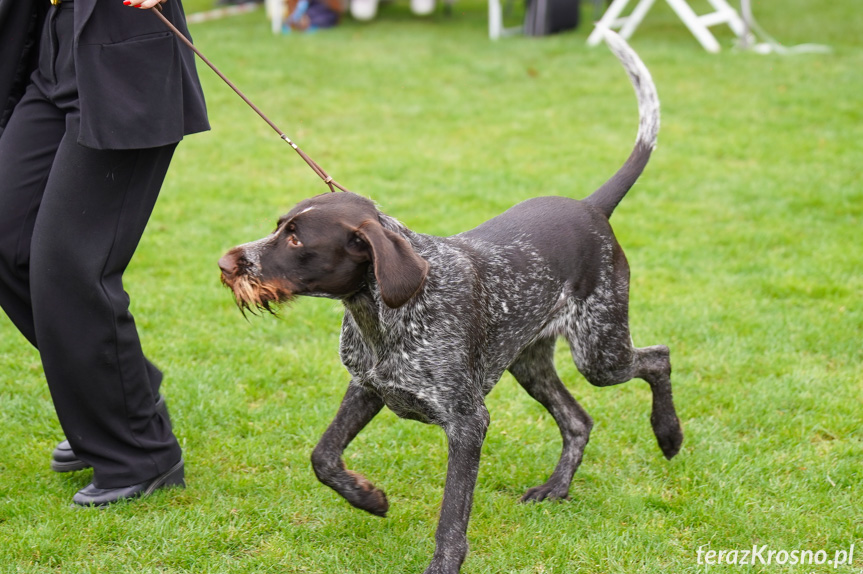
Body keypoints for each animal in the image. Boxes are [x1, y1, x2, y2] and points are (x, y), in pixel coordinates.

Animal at [221, 31, 680, 574]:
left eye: (295, 239)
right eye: (278, 227)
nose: (227, 263)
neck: (382, 316)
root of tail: (591, 208)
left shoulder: (467, 422)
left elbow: (451, 519)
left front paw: (441, 561)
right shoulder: (368, 386)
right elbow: (323, 457)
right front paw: (368, 498)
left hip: (599, 352)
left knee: (657, 358)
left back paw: (668, 435)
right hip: (530, 363)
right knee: (578, 420)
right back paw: (556, 487)